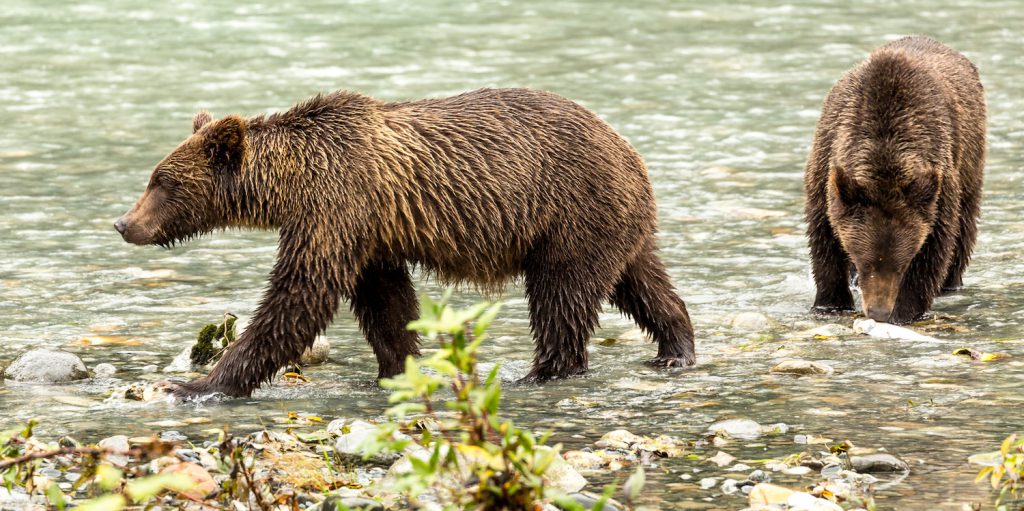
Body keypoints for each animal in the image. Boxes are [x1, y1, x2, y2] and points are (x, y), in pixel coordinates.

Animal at [117, 88, 696, 399]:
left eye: (162, 182)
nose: (124, 223)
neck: (293, 185)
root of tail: (629, 149)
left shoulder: (337, 205)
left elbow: (298, 296)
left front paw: (195, 385)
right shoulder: (368, 231)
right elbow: (386, 302)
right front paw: (399, 368)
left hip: (571, 211)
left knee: (563, 296)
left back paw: (542, 372)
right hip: (614, 223)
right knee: (642, 282)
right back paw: (675, 350)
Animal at [802, 37, 987, 323]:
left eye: (901, 265)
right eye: (865, 261)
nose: (878, 312)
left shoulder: (937, 186)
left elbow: (935, 246)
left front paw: (904, 312)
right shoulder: (827, 169)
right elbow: (823, 237)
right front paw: (830, 303)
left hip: (970, 160)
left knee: (964, 226)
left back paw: (950, 284)